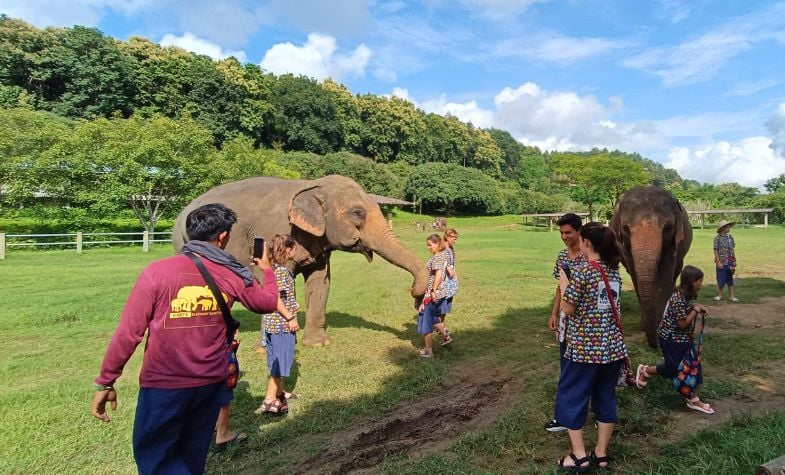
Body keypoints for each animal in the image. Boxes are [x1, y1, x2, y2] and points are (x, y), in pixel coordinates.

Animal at [172, 177, 428, 348]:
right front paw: (269, 345)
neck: (311, 185)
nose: (415, 295)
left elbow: (320, 281)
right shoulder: (269, 232)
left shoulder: (318, 241)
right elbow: (271, 282)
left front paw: (318, 344)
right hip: (181, 241)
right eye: (358, 213)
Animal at [608, 187, 688, 350]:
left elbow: (665, 276)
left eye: (668, 227)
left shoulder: (673, 244)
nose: (655, 345)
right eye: (625, 228)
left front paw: (660, 326)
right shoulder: (624, 248)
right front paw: (646, 327)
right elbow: (635, 276)